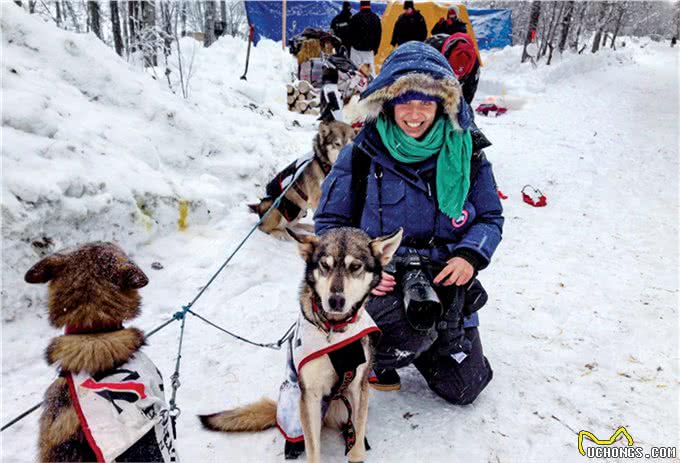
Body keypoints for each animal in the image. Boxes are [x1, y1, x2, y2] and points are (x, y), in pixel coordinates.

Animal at [202, 228, 404, 463]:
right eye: (325, 265)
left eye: (355, 267)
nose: (335, 301)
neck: (333, 329)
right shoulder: (311, 395)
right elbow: (313, 449)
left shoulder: (358, 388)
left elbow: (356, 448)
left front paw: (357, 450)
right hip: (295, 403)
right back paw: (293, 445)